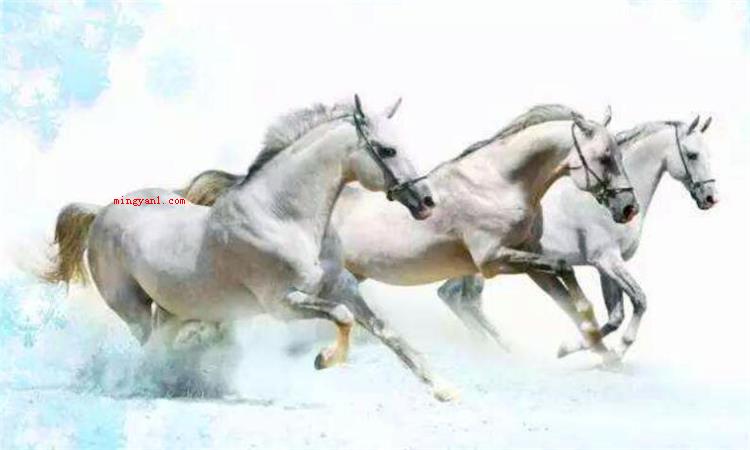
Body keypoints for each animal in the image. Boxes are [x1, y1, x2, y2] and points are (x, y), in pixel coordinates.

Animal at [43, 96, 463, 401]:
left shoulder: (342, 286)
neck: (283, 216)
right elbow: (343, 318)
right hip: (133, 309)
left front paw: (444, 390)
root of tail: (101, 211)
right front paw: (323, 360)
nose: (427, 201)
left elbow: (387, 333)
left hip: (173, 311)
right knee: (148, 348)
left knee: (159, 347)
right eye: (387, 150)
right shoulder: (282, 304)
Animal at [437, 115, 717, 359]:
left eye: (708, 154)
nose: (710, 198)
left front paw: (582, 350)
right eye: (692, 154)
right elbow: (640, 300)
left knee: (453, 295)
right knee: (463, 299)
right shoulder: (607, 260)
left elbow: (615, 315)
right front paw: (611, 352)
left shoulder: (606, 267)